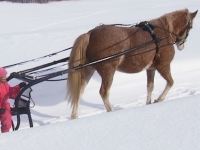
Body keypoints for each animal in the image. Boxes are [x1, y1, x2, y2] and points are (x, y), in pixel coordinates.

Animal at [67, 8, 197, 119]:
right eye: (190, 26)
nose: (181, 45)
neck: (163, 33)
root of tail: (90, 34)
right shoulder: (163, 66)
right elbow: (170, 82)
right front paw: (159, 99)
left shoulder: (151, 69)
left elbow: (150, 86)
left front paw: (148, 102)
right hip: (108, 71)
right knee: (103, 92)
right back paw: (111, 111)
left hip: (88, 70)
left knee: (79, 92)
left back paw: (74, 115)